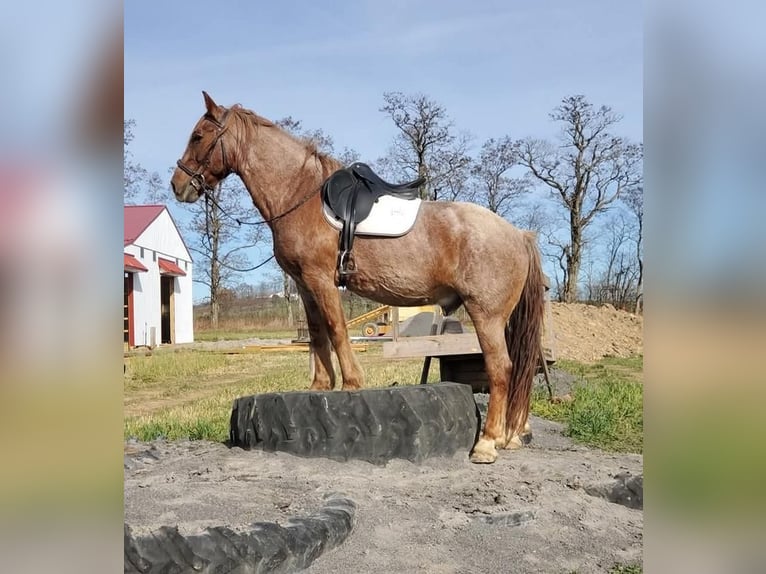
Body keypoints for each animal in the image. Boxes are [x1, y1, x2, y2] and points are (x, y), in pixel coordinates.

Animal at [173, 92, 544, 466]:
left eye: (199, 135)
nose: (178, 185)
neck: (300, 195)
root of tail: (518, 234)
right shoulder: (305, 284)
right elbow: (317, 334)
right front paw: (320, 386)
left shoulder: (320, 279)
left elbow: (336, 329)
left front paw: (351, 382)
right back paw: (510, 436)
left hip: (486, 315)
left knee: (501, 369)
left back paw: (487, 443)